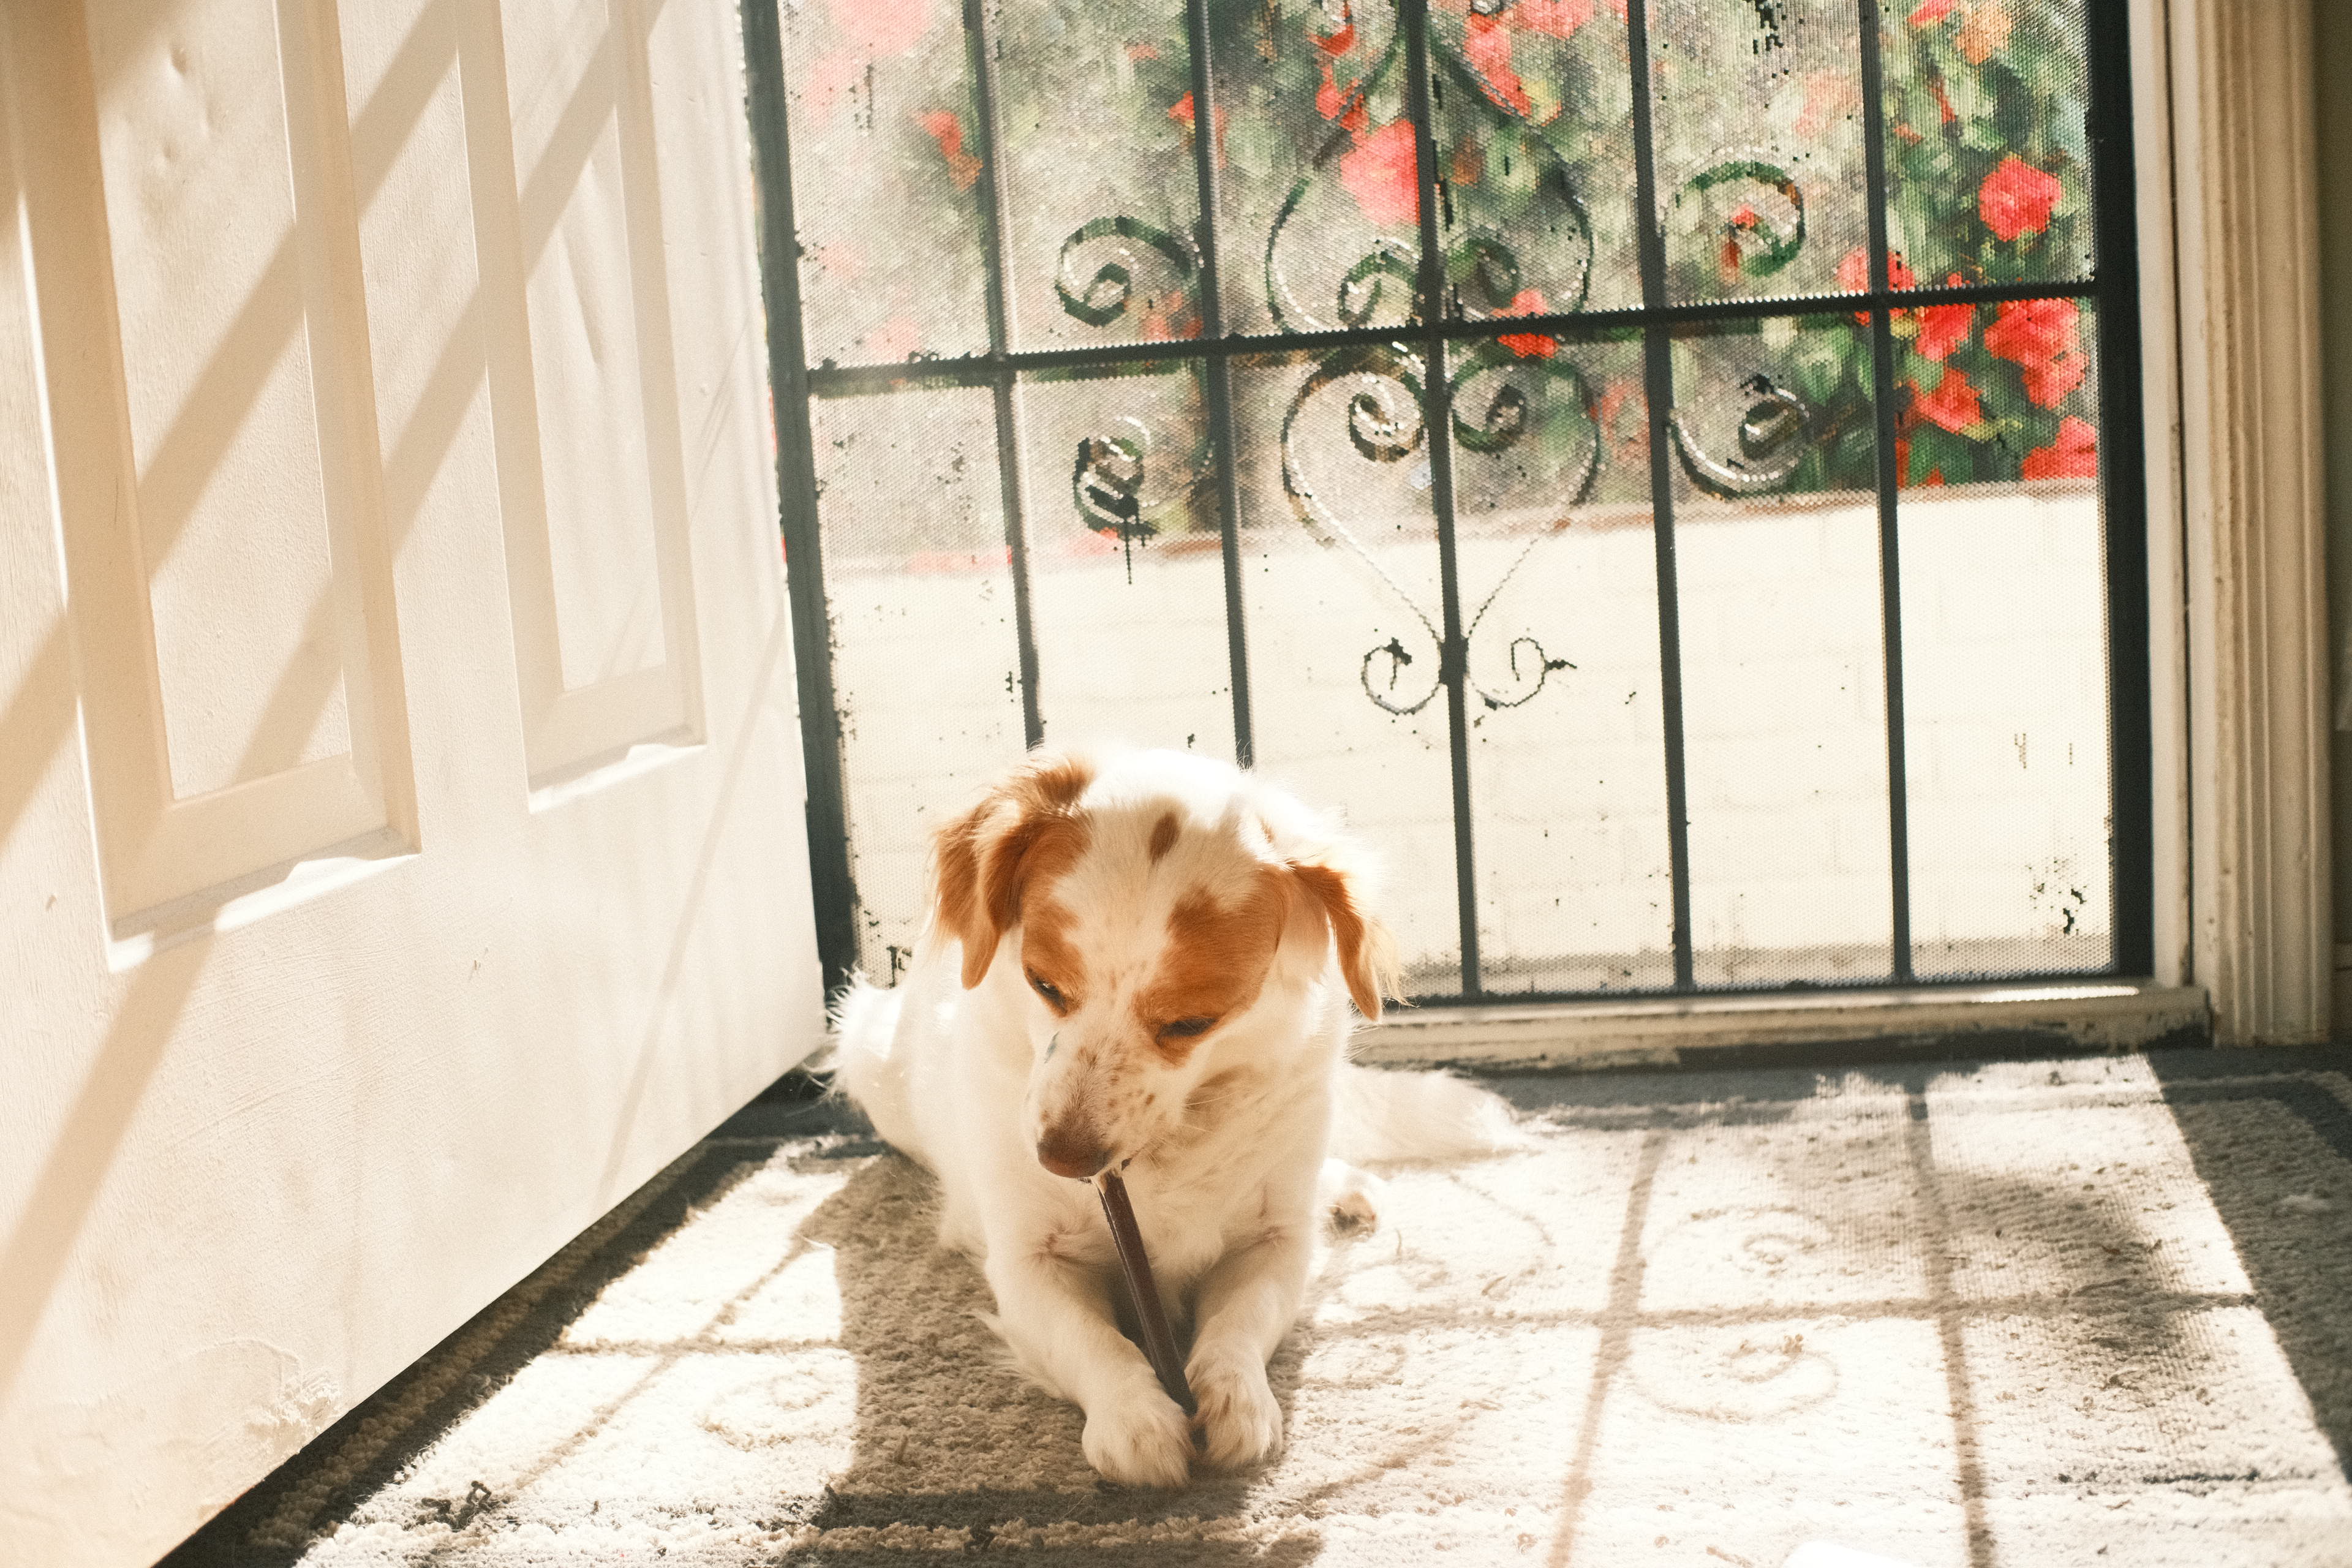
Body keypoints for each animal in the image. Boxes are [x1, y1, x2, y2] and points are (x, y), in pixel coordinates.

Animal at [834, 746, 1516, 1487]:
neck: (1164, 1148)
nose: (1062, 1158)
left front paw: (1236, 1397)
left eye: (1192, 1023)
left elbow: (1241, 1322)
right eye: (1043, 983)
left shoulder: (1275, 1242)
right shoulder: (1028, 1261)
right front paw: (1135, 1416)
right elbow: (1090, 1340)